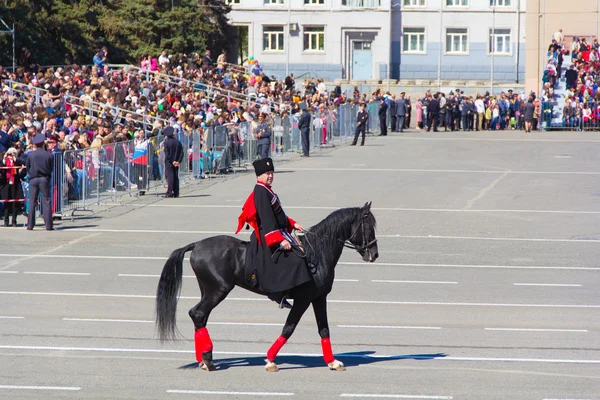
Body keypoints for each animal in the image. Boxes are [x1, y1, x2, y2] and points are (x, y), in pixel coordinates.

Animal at [157, 203, 378, 372]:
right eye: (369, 226)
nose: (374, 254)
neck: (316, 253)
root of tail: (197, 244)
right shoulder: (303, 299)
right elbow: (289, 327)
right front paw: (270, 359)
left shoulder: (318, 297)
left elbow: (324, 329)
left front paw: (332, 361)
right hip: (218, 290)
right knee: (198, 314)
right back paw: (208, 359)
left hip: (209, 291)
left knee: (199, 316)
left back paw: (204, 358)